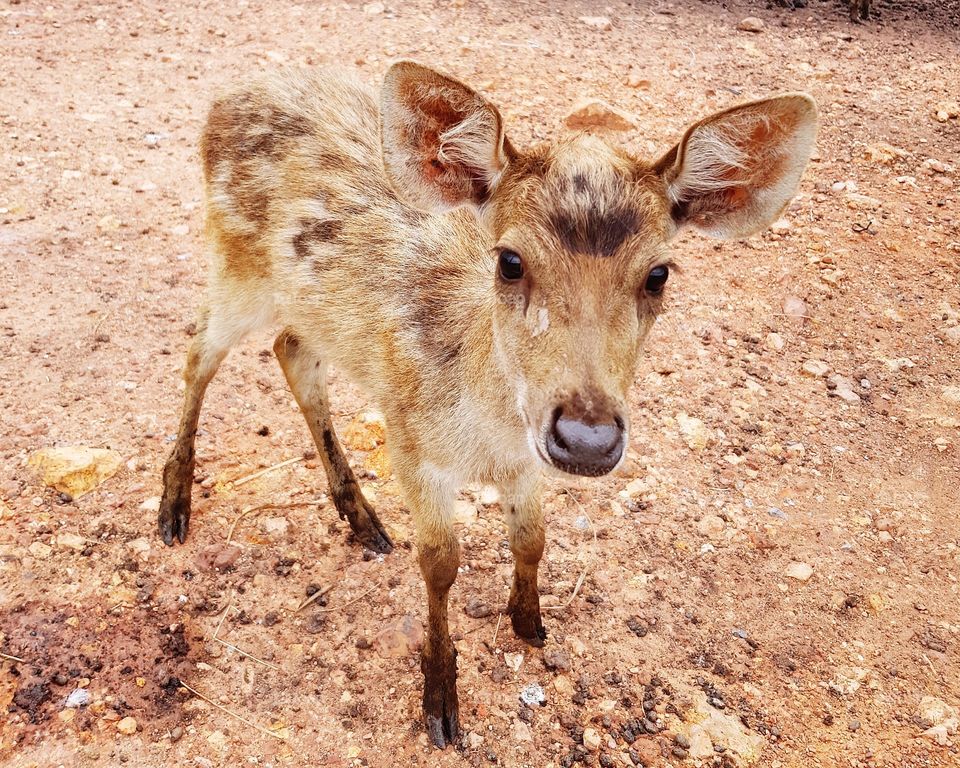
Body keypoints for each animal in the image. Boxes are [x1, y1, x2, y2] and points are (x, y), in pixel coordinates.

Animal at [157, 61, 817, 748]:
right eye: (510, 260)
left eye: (658, 274)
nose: (587, 438)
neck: (486, 435)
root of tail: (230, 95)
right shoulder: (412, 444)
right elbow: (441, 564)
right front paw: (441, 701)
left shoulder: (525, 465)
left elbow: (532, 540)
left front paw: (529, 624)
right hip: (234, 263)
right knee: (198, 353)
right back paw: (174, 507)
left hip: (305, 307)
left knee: (290, 349)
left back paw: (362, 518)